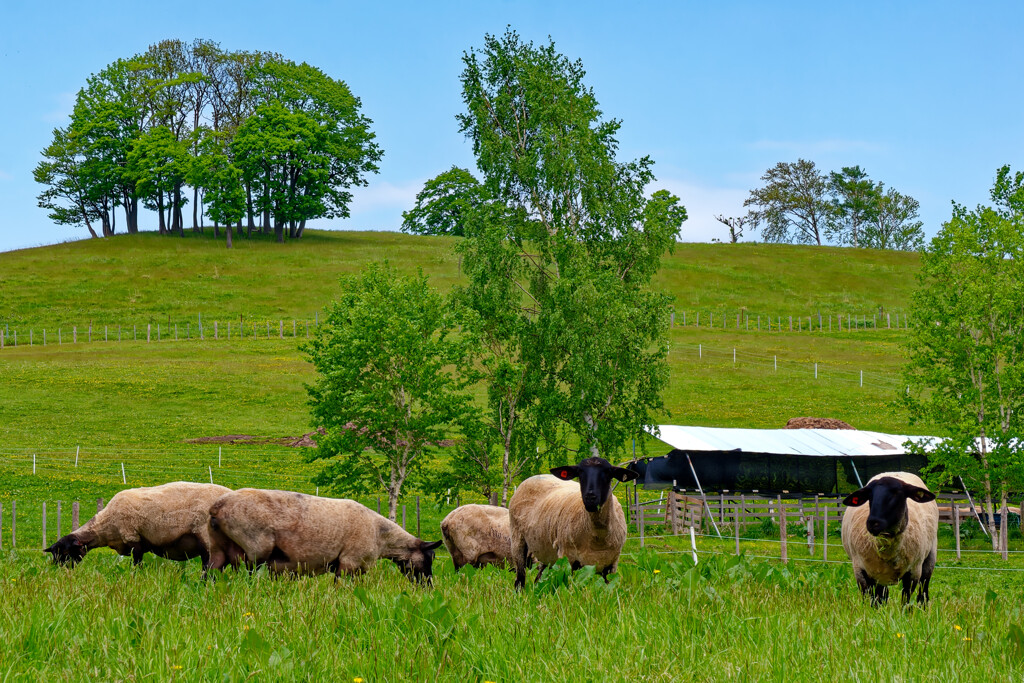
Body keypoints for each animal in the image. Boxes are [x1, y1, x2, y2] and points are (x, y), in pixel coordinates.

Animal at [43, 481, 232, 577]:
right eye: (54, 554)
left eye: (66, 553)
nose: (57, 573)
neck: (105, 527)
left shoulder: (133, 539)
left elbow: (137, 565)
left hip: (206, 537)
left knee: (209, 566)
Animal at [208, 489, 444, 585]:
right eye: (428, 558)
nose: (428, 587)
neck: (382, 536)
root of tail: (217, 507)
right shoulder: (349, 562)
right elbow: (339, 586)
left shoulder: (355, 568)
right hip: (256, 549)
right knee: (250, 577)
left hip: (218, 548)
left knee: (209, 573)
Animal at [507, 458, 634, 593]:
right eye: (580, 473)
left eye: (608, 472)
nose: (590, 497)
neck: (598, 538)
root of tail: (534, 477)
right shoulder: (569, 560)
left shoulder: (611, 565)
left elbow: (608, 587)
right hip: (517, 539)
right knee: (520, 579)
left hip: (548, 554)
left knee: (539, 577)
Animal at [839, 473, 937, 606]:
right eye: (869, 495)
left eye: (897, 493)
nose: (873, 523)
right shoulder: (860, 570)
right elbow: (870, 601)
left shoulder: (913, 572)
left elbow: (906, 602)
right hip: (880, 575)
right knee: (882, 596)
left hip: (930, 556)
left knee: (923, 592)